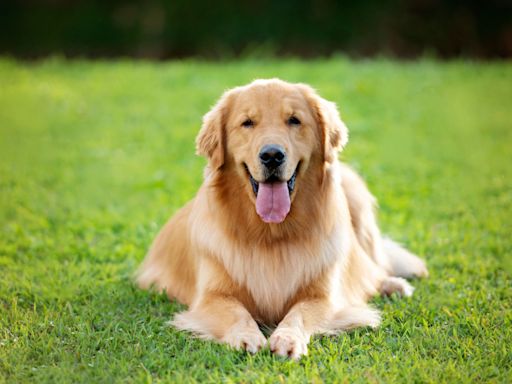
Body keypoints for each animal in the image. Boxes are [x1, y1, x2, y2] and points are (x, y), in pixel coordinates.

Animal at [137, 79, 428, 360]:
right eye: (247, 122)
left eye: (294, 120)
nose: (272, 155)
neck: (271, 234)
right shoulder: (211, 297)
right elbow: (236, 312)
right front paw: (246, 336)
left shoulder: (325, 296)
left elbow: (300, 312)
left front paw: (288, 338)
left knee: (376, 266)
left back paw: (393, 285)